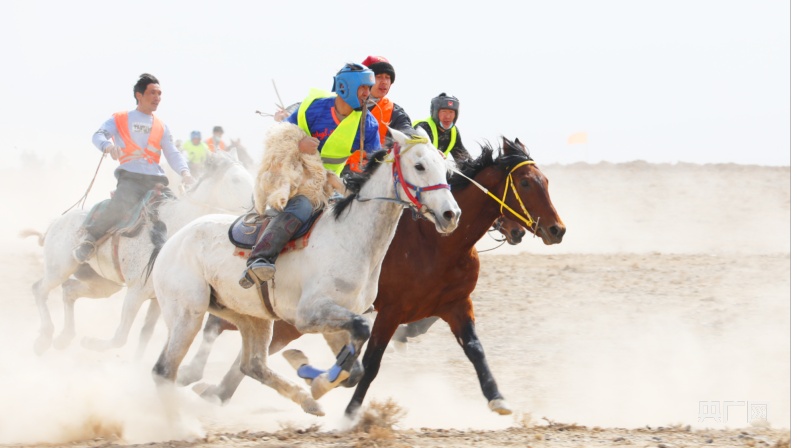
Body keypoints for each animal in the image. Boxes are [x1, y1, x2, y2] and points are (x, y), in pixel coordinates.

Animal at [25, 153, 255, 356]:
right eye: (235, 179)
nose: (256, 206)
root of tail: (57, 221)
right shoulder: (136, 292)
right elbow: (120, 337)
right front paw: (90, 342)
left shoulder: (160, 300)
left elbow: (145, 334)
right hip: (59, 268)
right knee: (39, 289)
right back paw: (44, 338)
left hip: (103, 284)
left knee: (69, 291)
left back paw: (63, 338)